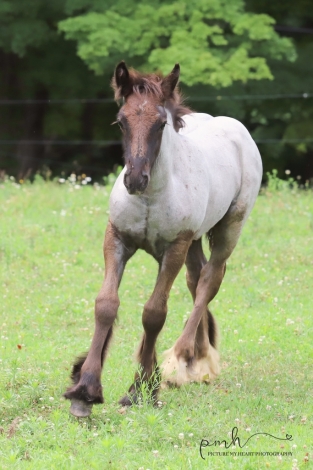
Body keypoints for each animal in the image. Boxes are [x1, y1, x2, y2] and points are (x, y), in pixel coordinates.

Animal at [64, 60, 262, 416]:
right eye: (121, 121)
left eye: (160, 124)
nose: (135, 179)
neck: (151, 197)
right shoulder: (117, 239)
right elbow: (106, 305)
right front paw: (84, 388)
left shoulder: (174, 248)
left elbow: (154, 314)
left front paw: (141, 387)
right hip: (195, 240)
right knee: (196, 278)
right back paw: (196, 358)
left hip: (228, 228)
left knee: (209, 281)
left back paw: (183, 360)